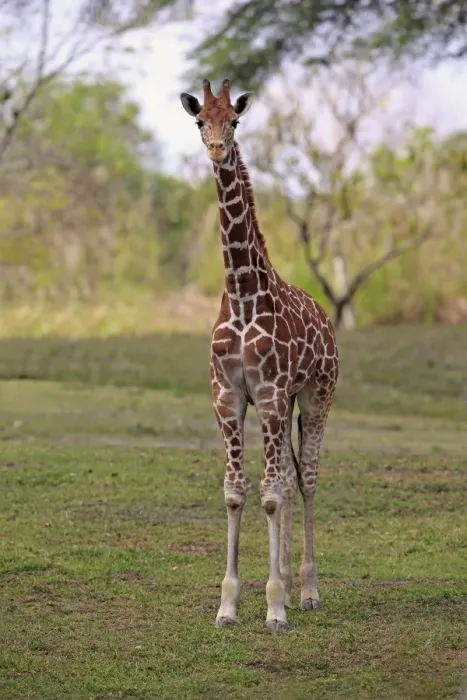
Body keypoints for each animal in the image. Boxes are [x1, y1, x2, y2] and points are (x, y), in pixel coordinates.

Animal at [180, 79, 339, 631]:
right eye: (200, 120)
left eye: (234, 120)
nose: (215, 149)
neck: (243, 294)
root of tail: (326, 317)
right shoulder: (227, 397)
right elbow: (236, 493)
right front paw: (229, 605)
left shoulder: (268, 394)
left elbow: (270, 495)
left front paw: (273, 608)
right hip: (287, 403)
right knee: (290, 478)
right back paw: (291, 585)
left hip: (316, 395)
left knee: (305, 479)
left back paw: (307, 592)